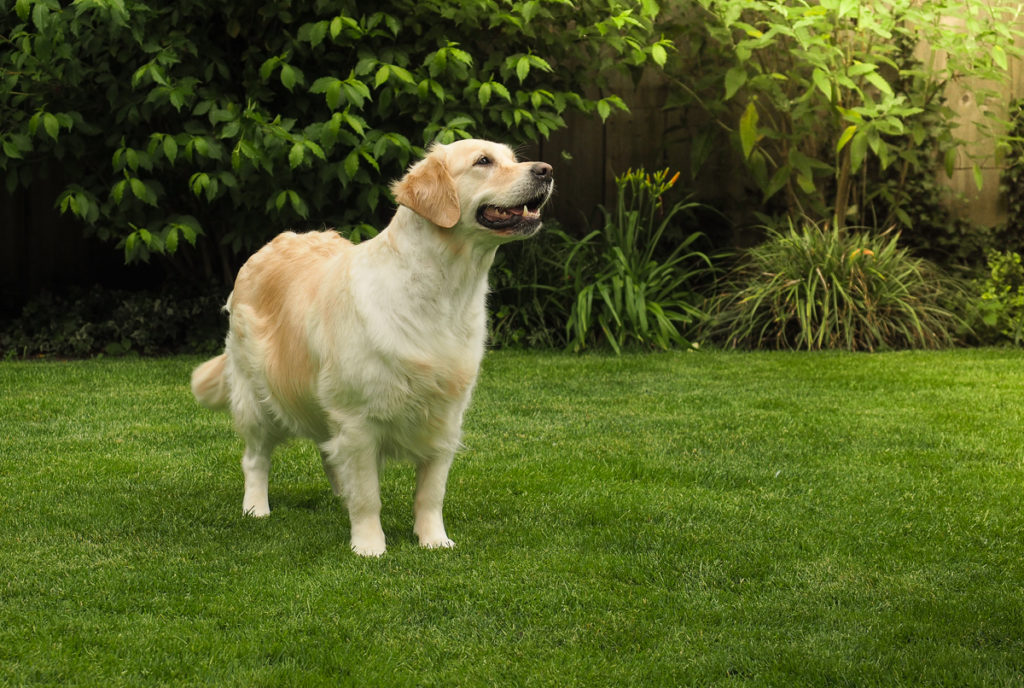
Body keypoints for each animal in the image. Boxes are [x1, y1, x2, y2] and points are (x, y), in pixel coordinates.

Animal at [192, 138, 561, 552]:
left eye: (513, 158)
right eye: (483, 161)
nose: (546, 170)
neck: (443, 291)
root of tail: (270, 245)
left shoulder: (445, 417)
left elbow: (431, 492)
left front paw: (434, 540)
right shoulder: (358, 418)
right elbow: (369, 494)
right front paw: (369, 546)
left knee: (328, 452)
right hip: (256, 396)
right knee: (256, 458)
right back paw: (256, 507)